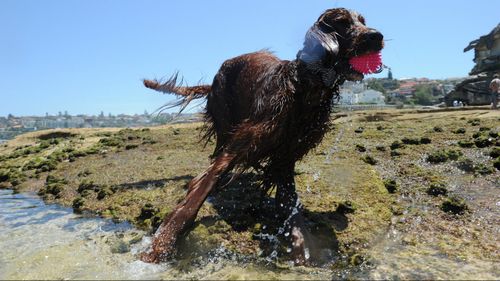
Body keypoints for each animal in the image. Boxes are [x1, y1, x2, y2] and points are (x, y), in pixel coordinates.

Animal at [141, 7, 382, 264]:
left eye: (362, 21)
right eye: (342, 22)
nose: (377, 37)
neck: (304, 90)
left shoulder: (287, 156)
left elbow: (290, 204)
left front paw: (303, 248)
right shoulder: (244, 141)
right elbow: (203, 187)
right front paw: (164, 240)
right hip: (226, 123)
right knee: (212, 162)